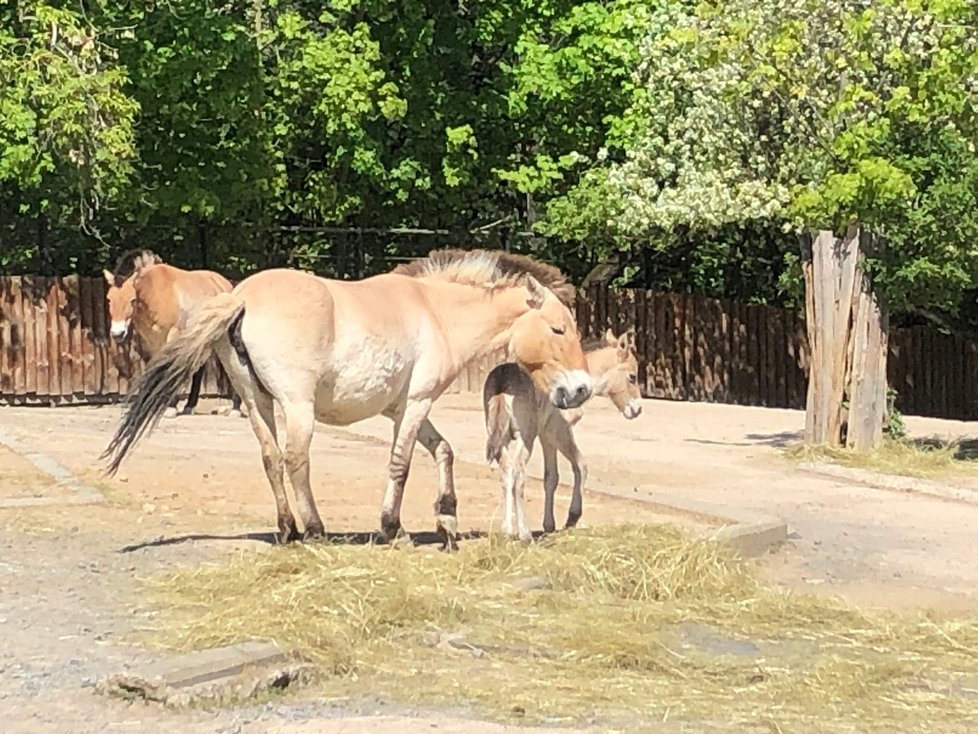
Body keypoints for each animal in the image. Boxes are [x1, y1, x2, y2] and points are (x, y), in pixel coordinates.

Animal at [101, 250, 242, 416]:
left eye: (132, 299)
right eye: (109, 299)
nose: (117, 333)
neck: (155, 293)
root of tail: (226, 284)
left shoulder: (172, 336)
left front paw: (171, 407)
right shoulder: (150, 342)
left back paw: (235, 407)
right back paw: (189, 406)